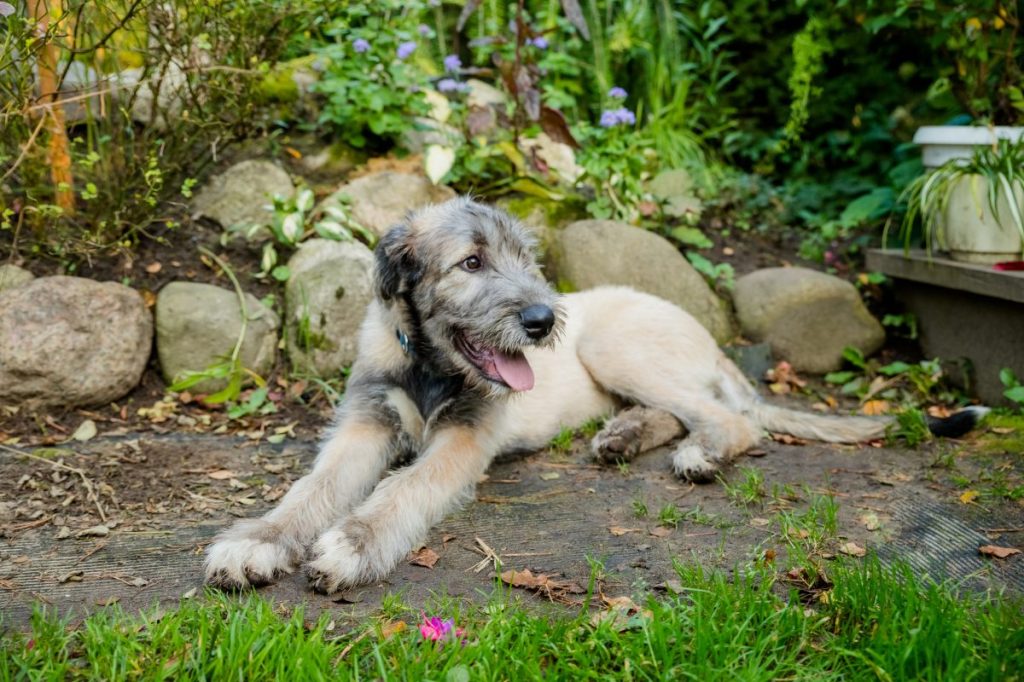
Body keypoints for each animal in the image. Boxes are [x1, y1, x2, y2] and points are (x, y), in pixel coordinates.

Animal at [201, 196, 983, 589]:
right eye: (472, 263)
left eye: (526, 259)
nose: (543, 321)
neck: (430, 366)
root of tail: (706, 335)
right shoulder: (365, 423)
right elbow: (313, 489)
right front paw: (257, 542)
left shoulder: (464, 439)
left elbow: (403, 489)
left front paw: (354, 545)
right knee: (679, 413)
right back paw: (624, 437)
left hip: (616, 347)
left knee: (731, 420)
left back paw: (700, 453)